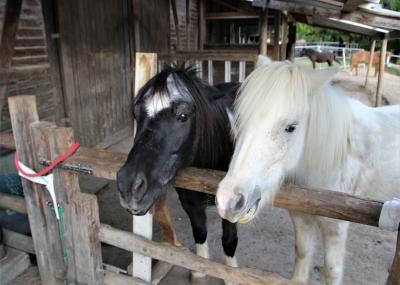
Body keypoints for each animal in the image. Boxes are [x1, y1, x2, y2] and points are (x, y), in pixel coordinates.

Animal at [117, 65, 239, 280]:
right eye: (136, 114)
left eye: (183, 116)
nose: (129, 186)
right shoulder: (191, 204)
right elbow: (200, 232)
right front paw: (200, 270)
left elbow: (229, 240)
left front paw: (231, 275)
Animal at [216, 56, 400, 284]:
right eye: (240, 120)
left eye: (291, 127)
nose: (228, 201)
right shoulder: (300, 216)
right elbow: (302, 254)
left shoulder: (336, 228)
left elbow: (332, 270)